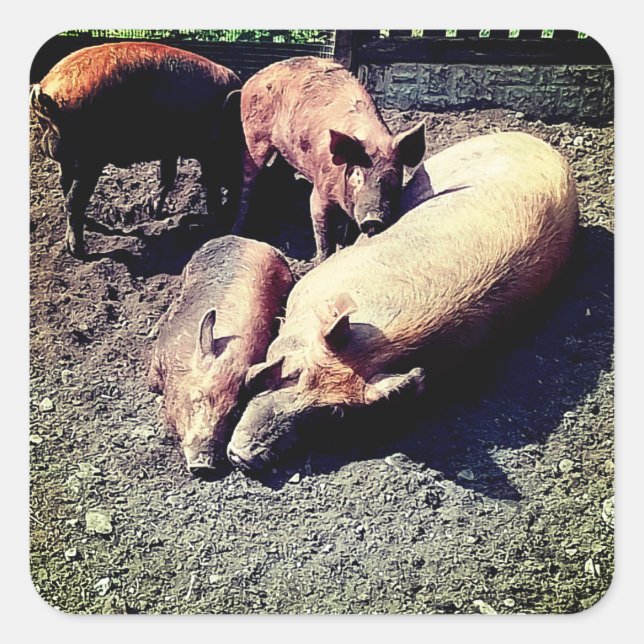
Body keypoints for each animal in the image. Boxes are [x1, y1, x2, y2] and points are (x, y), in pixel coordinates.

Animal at [30, 42, 242, 258]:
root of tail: (48, 92)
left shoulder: (170, 148)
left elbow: (168, 174)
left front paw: (154, 212)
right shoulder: (208, 151)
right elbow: (209, 180)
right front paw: (216, 215)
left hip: (68, 159)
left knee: (64, 184)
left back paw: (90, 224)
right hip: (88, 159)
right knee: (73, 200)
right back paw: (79, 250)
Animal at [232, 56, 426, 262]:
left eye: (392, 176)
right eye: (357, 176)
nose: (373, 218)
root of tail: (253, 79)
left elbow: (343, 229)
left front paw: (342, 248)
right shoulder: (320, 192)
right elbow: (322, 232)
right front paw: (321, 260)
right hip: (253, 138)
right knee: (247, 183)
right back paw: (237, 230)